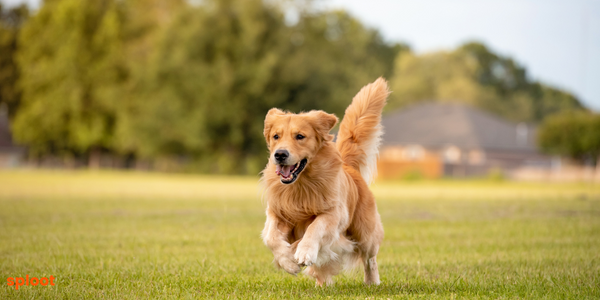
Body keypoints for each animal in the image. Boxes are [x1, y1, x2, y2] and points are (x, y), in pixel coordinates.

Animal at [262, 77, 390, 286]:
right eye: (276, 136)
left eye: (300, 136)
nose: (280, 154)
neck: (301, 184)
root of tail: (349, 167)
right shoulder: (277, 212)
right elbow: (271, 237)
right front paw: (288, 261)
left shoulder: (333, 213)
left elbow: (314, 227)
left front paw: (304, 251)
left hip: (365, 234)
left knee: (370, 259)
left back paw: (372, 282)